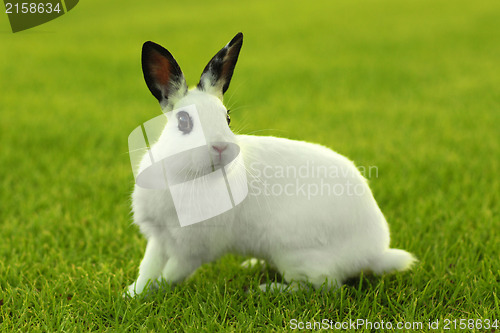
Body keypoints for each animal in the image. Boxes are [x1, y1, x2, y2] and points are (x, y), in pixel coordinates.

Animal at [124, 31, 414, 296]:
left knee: (319, 286)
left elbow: (172, 273)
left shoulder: (194, 249)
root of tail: (373, 253)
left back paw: (266, 289)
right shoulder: (159, 238)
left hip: (295, 254)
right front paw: (132, 293)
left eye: (227, 118)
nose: (221, 147)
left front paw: (152, 290)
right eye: (183, 121)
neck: (186, 175)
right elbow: (148, 267)